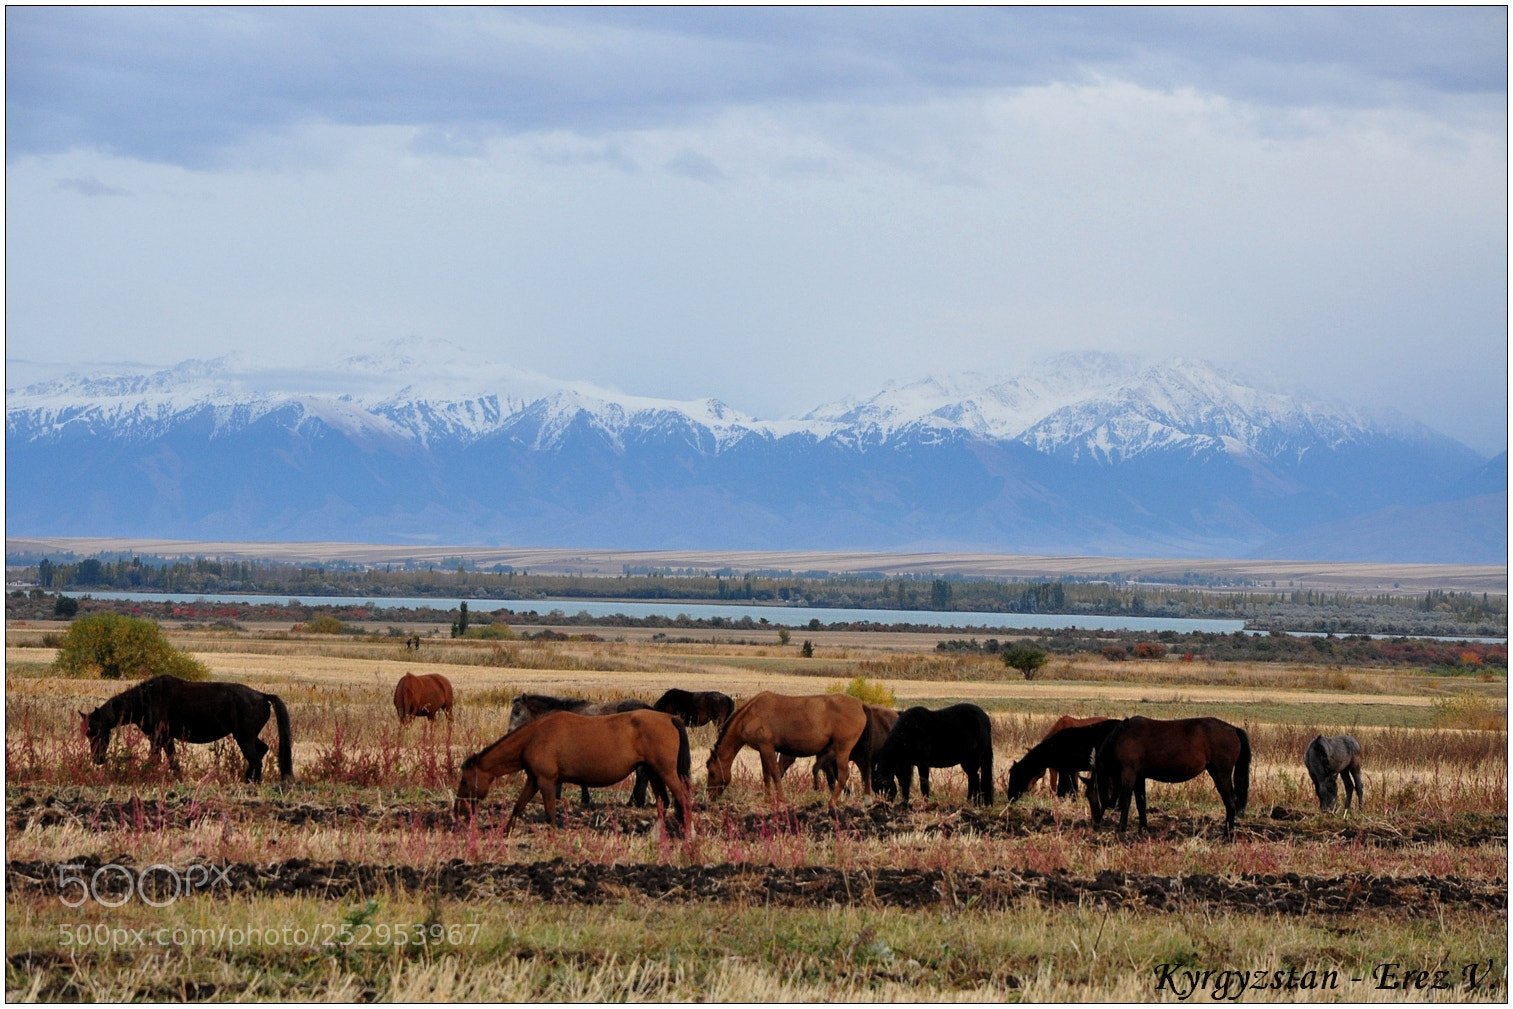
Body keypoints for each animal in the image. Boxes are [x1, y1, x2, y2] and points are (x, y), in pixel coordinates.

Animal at [79, 675, 293, 783]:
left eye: (97, 732)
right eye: (88, 734)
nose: (98, 759)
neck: (146, 700)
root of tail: (263, 696)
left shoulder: (157, 737)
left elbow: (154, 758)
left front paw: (145, 776)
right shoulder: (165, 738)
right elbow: (172, 760)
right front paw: (178, 778)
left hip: (244, 737)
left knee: (256, 760)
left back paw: (251, 784)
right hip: (247, 736)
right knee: (262, 751)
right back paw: (247, 780)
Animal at [454, 709, 692, 835]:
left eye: (464, 781)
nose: (459, 812)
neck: (533, 737)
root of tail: (669, 718)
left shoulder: (546, 781)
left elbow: (550, 813)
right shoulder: (534, 780)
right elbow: (518, 806)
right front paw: (505, 832)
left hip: (666, 772)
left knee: (682, 800)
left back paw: (688, 834)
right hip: (654, 773)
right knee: (663, 803)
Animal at [706, 692, 870, 807]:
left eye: (712, 773)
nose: (709, 796)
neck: (750, 715)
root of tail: (861, 705)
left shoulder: (767, 747)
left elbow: (775, 773)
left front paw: (782, 799)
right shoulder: (762, 749)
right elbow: (766, 776)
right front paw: (767, 799)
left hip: (843, 749)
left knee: (843, 775)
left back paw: (832, 802)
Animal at [1090, 716, 1250, 838]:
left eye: (1090, 796)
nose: (1095, 824)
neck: (1122, 737)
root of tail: (1234, 729)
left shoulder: (1129, 773)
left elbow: (1126, 801)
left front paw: (1121, 829)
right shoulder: (1139, 777)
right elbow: (1141, 803)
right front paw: (1143, 829)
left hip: (1221, 775)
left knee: (1230, 804)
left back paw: (1227, 836)